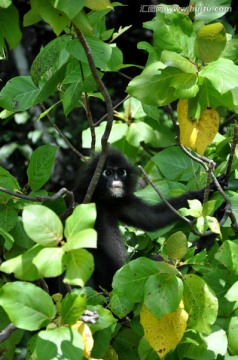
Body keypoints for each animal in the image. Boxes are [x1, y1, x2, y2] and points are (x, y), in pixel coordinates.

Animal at [76, 148, 214, 292]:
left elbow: (152, 218)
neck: (103, 200)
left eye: (120, 172)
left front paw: (204, 191)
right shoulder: (81, 198)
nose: (116, 179)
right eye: (108, 172)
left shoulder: (121, 201)